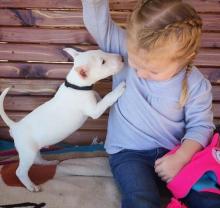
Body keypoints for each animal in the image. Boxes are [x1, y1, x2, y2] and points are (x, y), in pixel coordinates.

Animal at [0, 48, 125, 192]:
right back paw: (31, 186)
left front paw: (98, 95)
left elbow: (97, 95)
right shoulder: (94, 111)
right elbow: (106, 99)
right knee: (20, 171)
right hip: (27, 152)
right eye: (103, 62)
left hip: (33, 150)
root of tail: (15, 126)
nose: (122, 58)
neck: (76, 85)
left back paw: (49, 163)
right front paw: (119, 89)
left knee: (37, 160)